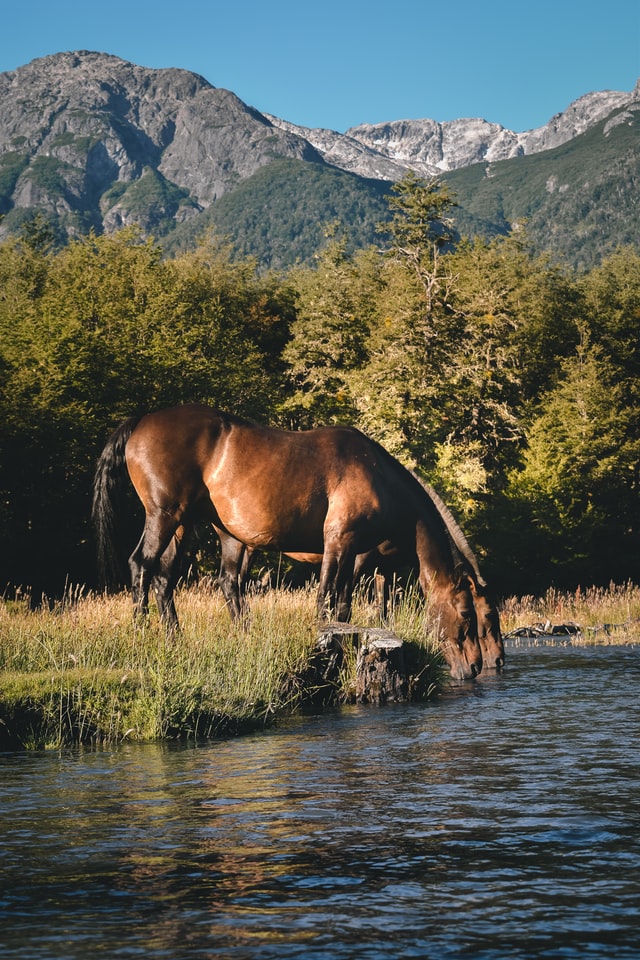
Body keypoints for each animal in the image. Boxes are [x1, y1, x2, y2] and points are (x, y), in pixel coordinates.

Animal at [90, 404, 480, 684]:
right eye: (466, 612)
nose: (476, 665)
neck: (377, 474)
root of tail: (143, 420)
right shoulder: (338, 540)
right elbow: (325, 600)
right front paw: (324, 652)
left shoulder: (353, 552)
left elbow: (343, 607)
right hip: (165, 514)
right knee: (141, 565)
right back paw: (142, 636)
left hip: (187, 525)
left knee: (169, 578)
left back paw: (179, 640)